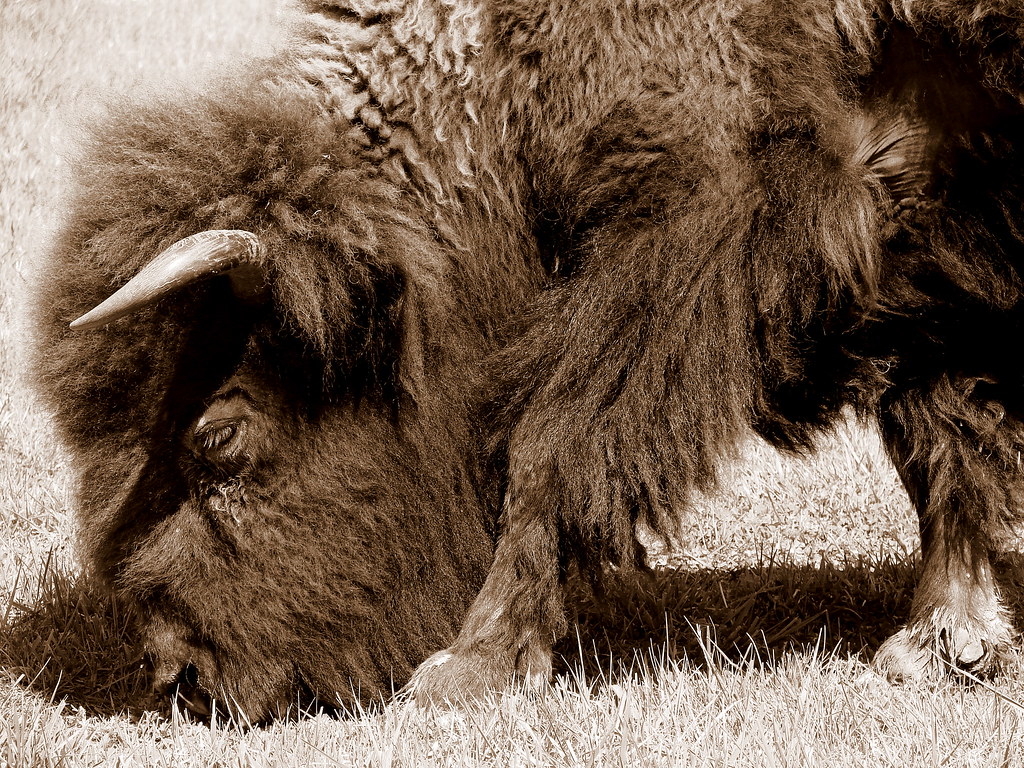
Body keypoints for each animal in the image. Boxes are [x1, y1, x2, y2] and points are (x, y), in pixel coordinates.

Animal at [33, 0, 1024, 720]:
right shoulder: (915, 235)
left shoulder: (687, 236)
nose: (180, 678)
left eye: (218, 437)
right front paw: (946, 643)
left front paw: (467, 669)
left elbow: (557, 445)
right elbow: (942, 433)